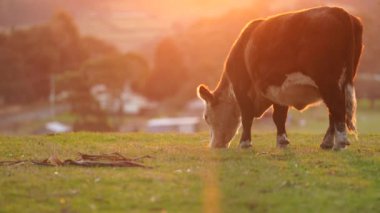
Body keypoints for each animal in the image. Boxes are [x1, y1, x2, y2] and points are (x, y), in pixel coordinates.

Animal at [197, 6, 364, 150]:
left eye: (206, 117)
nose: (214, 145)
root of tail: (339, 11)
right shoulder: (279, 90)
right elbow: (279, 116)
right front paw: (282, 141)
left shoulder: (241, 87)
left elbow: (247, 115)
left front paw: (245, 143)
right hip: (340, 82)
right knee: (333, 112)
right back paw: (327, 142)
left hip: (328, 82)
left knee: (337, 107)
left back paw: (339, 142)